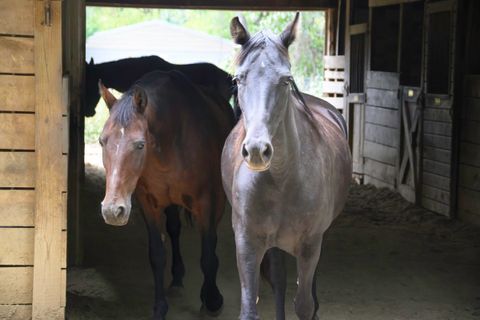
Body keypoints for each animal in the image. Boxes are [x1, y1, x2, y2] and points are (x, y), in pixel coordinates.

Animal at [97, 69, 234, 318]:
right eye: (103, 141)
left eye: (140, 145)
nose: (112, 211)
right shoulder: (148, 204)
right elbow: (157, 254)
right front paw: (160, 307)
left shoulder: (208, 203)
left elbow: (208, 255)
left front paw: (212, 300)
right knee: (174, 229)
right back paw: (177, 279)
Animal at [221, 13, 352, 320]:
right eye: (239, 79)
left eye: (285, 80)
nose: (257, 151)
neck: (281, 179)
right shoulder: (247, 242)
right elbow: (252, 306)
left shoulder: (310, 245)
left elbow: (304, 305)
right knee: (279, 281)